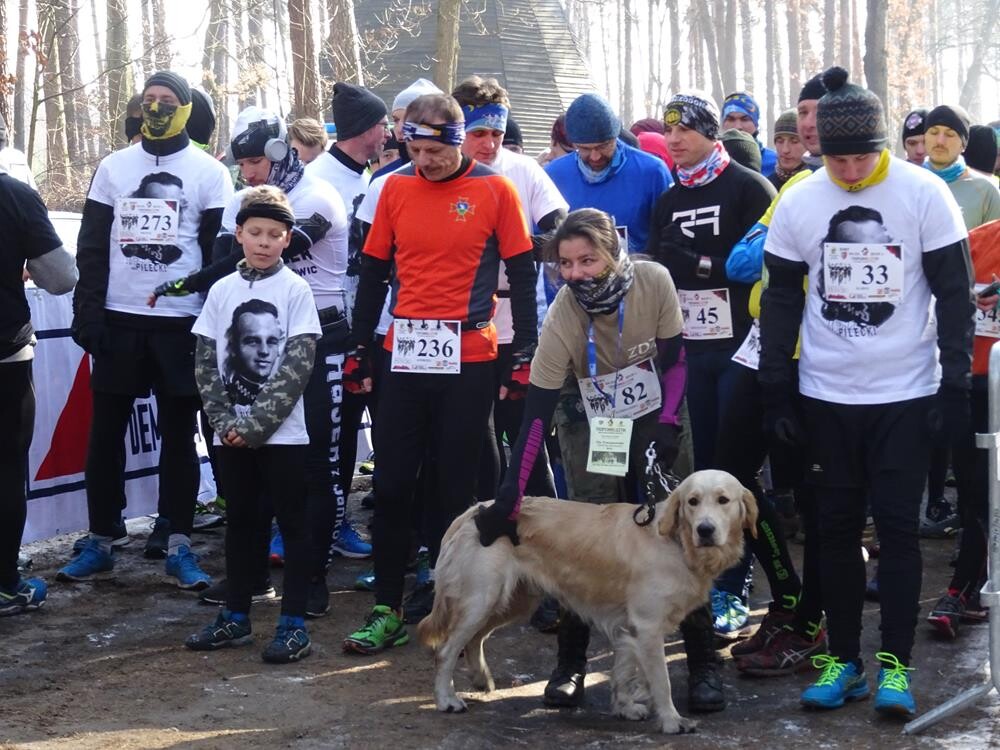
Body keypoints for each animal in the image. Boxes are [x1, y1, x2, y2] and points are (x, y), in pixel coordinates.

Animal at [416, 472, 756, 736]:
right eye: (692, 502)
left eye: (723, 500)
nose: (705, 530)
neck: (675, 542)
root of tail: (473, 512)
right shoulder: (647, 628)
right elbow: (661, 682)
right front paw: (672, 721)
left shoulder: (630, 629)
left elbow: (623, 672)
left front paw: (625, 707)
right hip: (482, 597)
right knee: (446, 650)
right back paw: (447, 700)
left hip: (512, 600)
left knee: (474, 639)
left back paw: (480, 678)